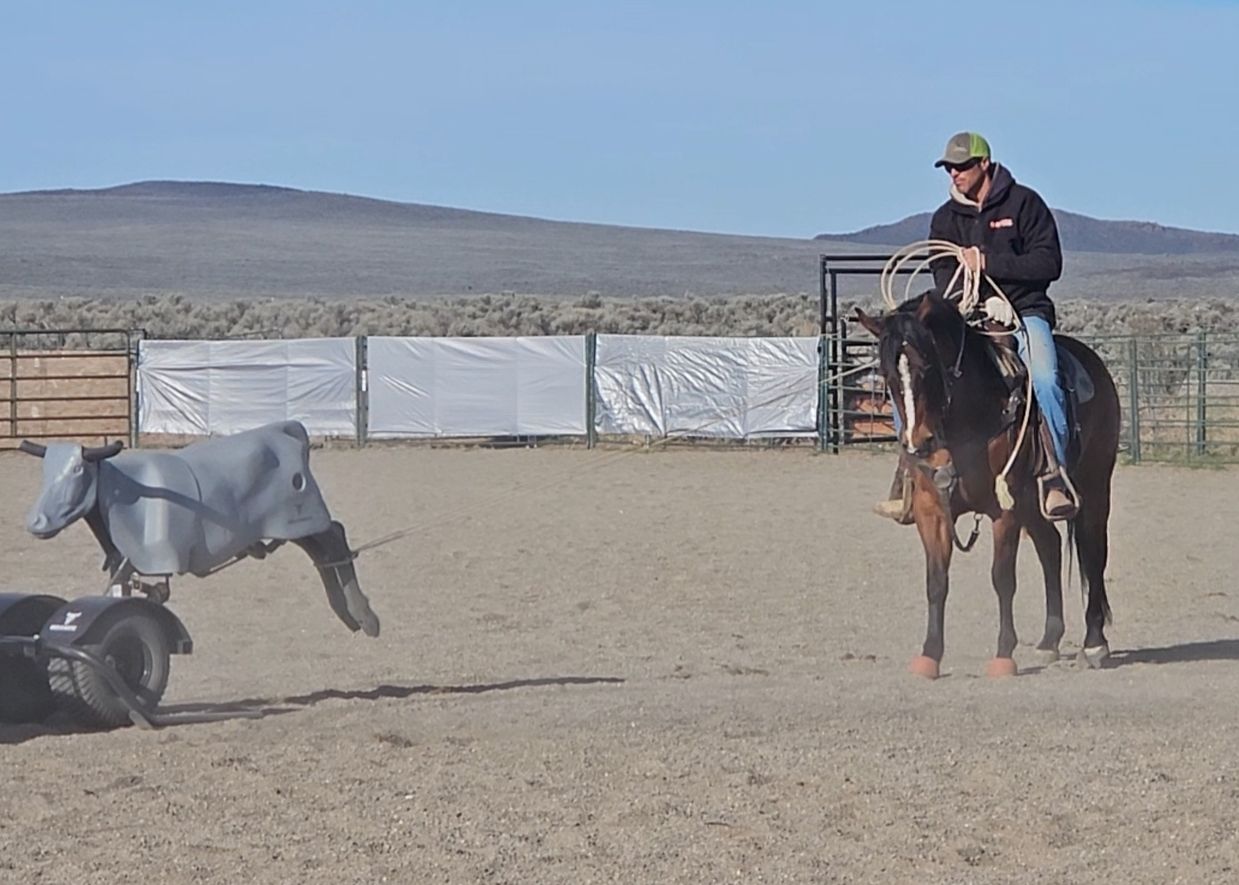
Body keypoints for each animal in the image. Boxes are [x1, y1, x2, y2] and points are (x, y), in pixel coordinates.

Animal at [854, 290, 1121, 678]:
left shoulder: (1003, 509)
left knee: (1093, 551)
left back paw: (1095, 644)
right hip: (1032, 503)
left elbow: (1002, 579)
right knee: (1051, 548)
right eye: (888, 374)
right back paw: (1049, 641)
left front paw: (1003, 656)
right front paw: (930, 655)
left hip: (1095, 486)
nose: (919, 443)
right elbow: (937, 582)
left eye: (927, 366)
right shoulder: (931, 510)